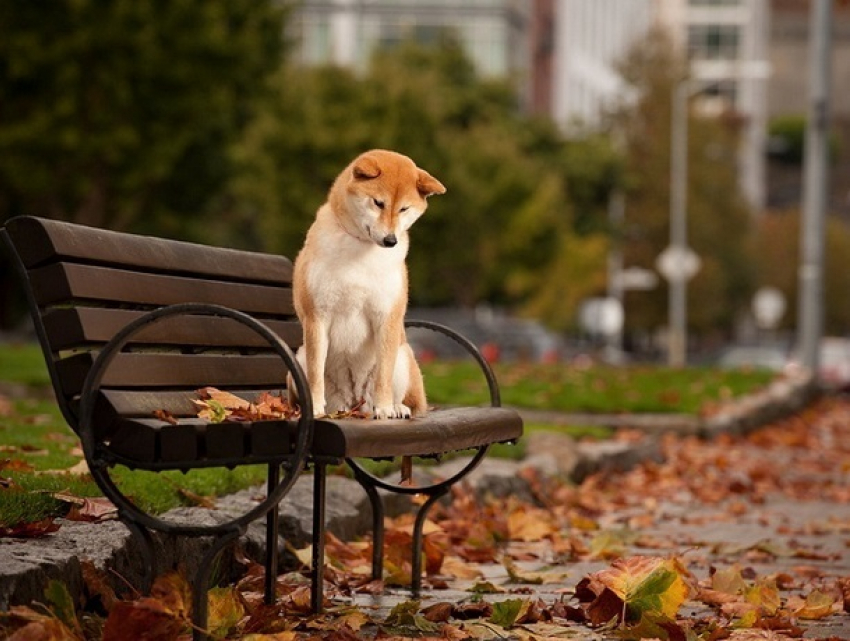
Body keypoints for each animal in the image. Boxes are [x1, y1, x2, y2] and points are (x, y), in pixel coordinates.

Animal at [290, 150, 444, 420]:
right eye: (378, 203)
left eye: (404, 209)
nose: (391, 240)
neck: (361, 248)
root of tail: (354, 403)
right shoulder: (317, 317)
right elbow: (315, 373)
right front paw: (315, 406)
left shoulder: (386, 317)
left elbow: (383, 375)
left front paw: (384, 408)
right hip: (298, 360)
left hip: (403, 355)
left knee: (403, 394)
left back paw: (396, 407)